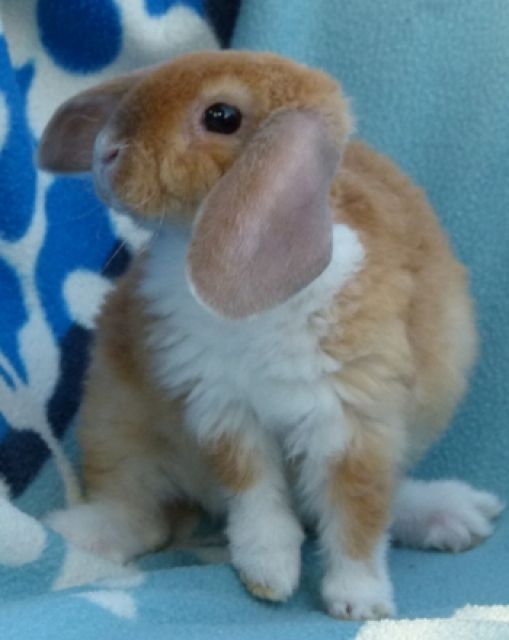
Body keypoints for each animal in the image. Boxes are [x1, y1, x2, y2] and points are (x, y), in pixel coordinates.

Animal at [37, 50, 503, 620]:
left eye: (221, 116)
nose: (106, 151)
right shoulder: (223, 411)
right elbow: (256, 496)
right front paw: (269, 573)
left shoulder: (351, 419)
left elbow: (358, 511)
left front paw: (361, 602)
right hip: (115, 422)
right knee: (140, 513)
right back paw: (75, 532)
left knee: (376, 499)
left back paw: (455, 514)